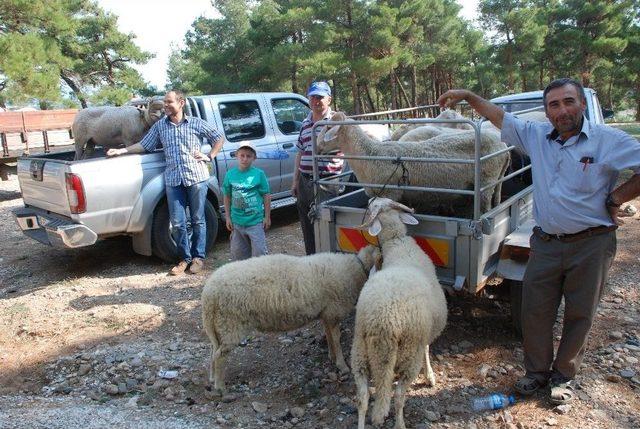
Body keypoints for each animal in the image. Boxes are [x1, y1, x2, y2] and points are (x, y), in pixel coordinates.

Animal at [201, 244, 380, 394]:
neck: (356, 268)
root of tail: (208, 293)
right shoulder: (334, 311)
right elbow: (336, 338)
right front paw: (342, 365)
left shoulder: (327, 313)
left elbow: (329, 336)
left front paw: (332, 356)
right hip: (231, 325)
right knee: (219, 356)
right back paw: (220, 387)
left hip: (219, 326)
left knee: (213, 352)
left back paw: (212, 377)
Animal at [316, 112, 510, 216]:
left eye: (328, 128)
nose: (317, 147)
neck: (370, 154)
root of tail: (503, 146)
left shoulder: (391, 193)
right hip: (496, 179)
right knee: (497, 196)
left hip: (487, 179)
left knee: (486, 204)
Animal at [350, 197, 450, 428]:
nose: (370, 198)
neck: (397, 242)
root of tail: (383, 322)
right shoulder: (423, 334)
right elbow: (427, 348)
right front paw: (430, 375)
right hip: (408, 355)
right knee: (397, 397)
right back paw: (399, 423)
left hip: (359, 350)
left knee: (362, 398)